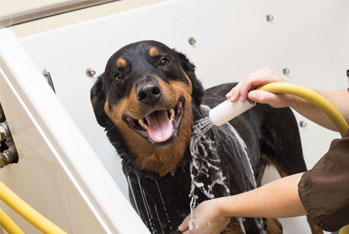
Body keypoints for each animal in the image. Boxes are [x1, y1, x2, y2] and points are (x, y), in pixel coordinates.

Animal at [90, 41, 320, 233]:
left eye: (164, 61)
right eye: (118, 76)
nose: (148, 92)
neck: (171, 171)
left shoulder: (245, 218)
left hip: (290, 160)